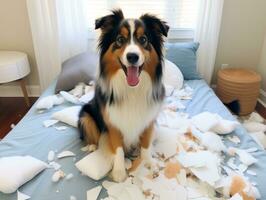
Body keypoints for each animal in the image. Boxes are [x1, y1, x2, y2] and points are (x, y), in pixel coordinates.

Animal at [78, 9, 168, 181]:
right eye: (120, 39)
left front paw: (149, 162)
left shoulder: (148, 120)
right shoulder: (113, 122)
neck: (132, 89)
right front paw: (119, 172)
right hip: (85, 114)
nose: (132, 56)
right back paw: (92, 145)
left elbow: (146, 144)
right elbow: (118, 148)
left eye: (143, 39)